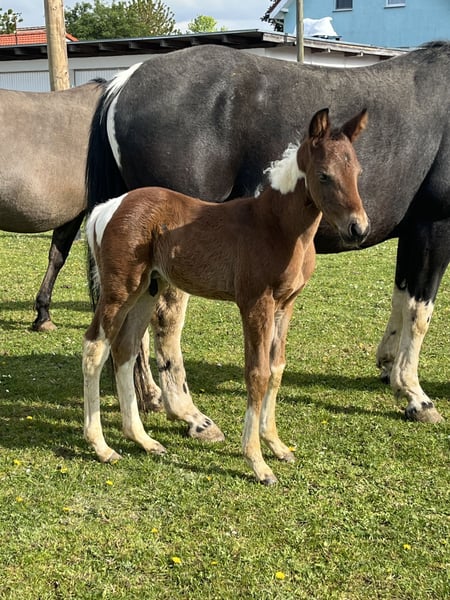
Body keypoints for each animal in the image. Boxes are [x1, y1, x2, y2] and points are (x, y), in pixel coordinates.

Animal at [83, 108, 369, 484]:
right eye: (324, 175)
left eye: (357, 172)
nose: (358, 228)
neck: (276, 227)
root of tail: (111, 206)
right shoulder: (255, 303)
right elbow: (257, 373)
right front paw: (257, 462)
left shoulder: (286, 305)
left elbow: (277, 368)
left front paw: (277, 446)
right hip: (120, 289)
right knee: (95, 348)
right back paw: (102, 447)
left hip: (147, 289)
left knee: (125, 349)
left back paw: (144, 440)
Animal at [86, 42, 450, 434]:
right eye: (325, 175)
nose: (358, 227)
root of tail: (125, 81)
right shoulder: (434, 226)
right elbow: (419, 311)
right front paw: (414, 394)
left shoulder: (412, 233)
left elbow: (401, 299)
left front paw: (388, 366)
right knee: (165, 320)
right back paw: (189, 413)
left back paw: (149, 398)